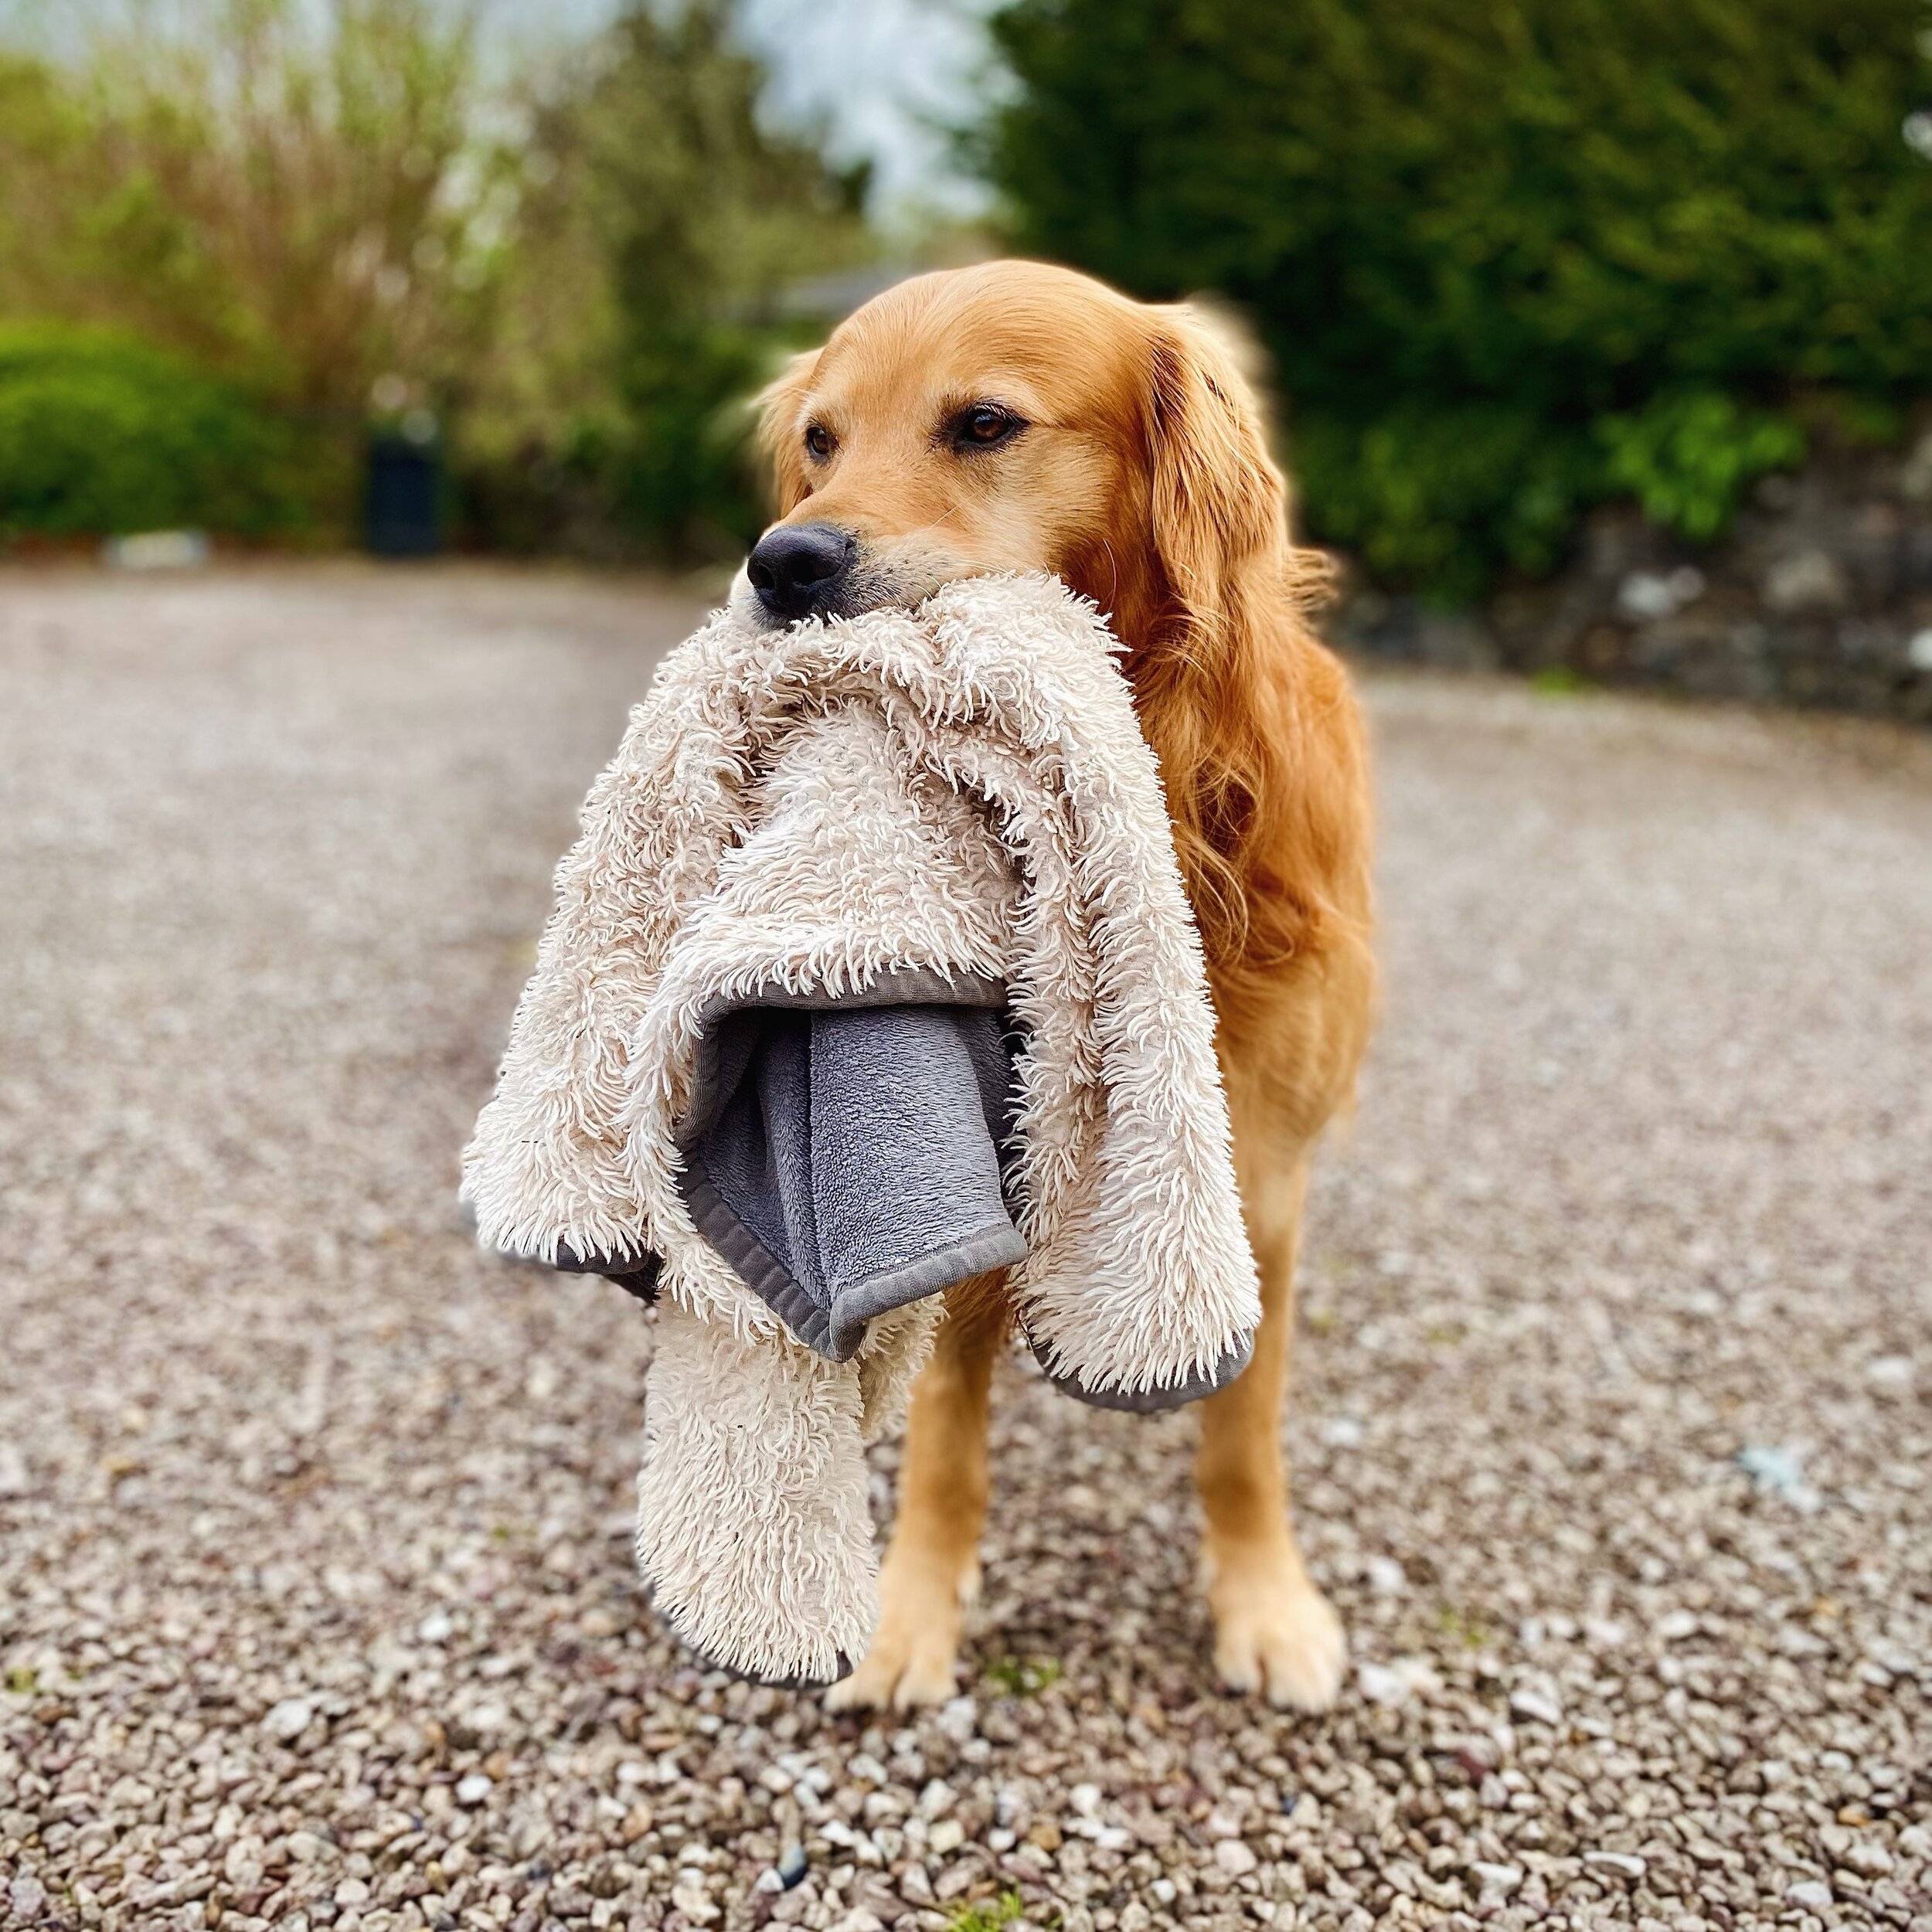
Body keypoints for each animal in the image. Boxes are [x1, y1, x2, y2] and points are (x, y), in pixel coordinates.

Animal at [742, 257, 1376, 1708]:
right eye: (821, 441)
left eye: (983, 425)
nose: (783, 562)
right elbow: (946, 1428)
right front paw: (913, 1610)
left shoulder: (1266, 1172)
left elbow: (1242, 1433)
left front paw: (1265, 1600)